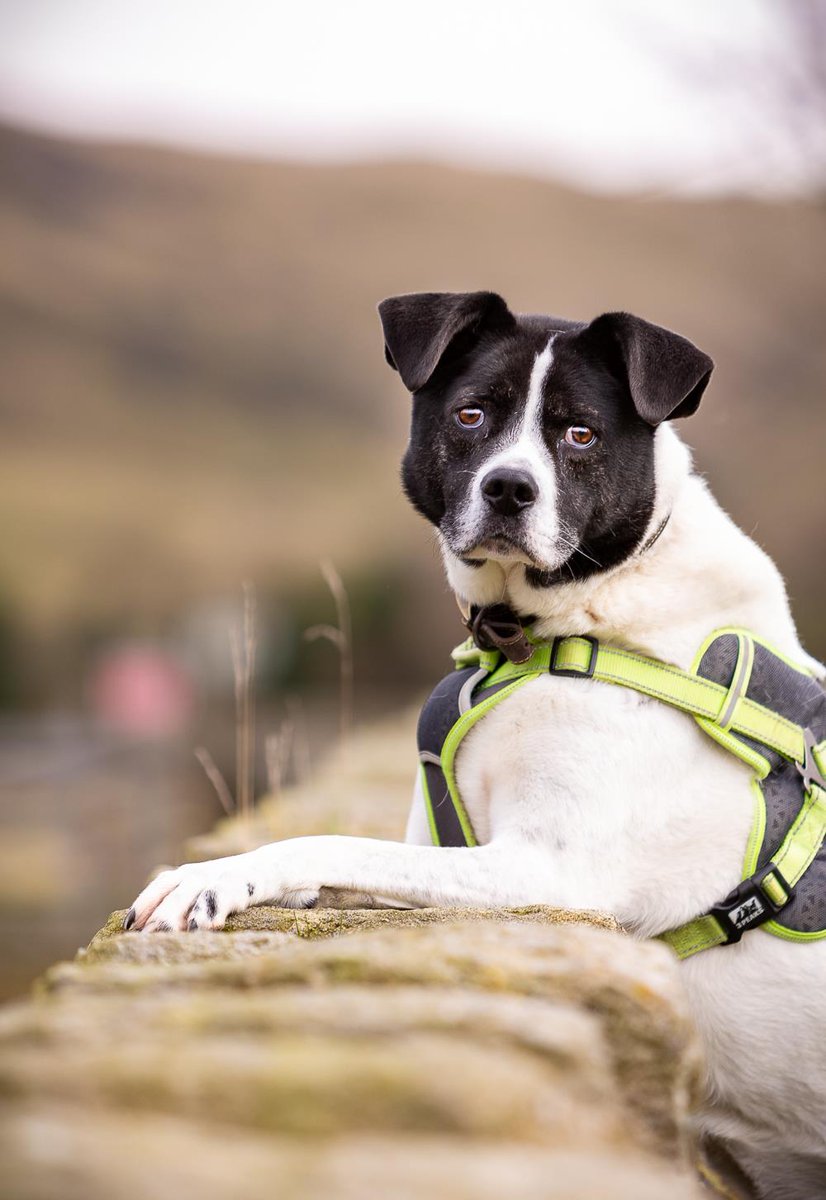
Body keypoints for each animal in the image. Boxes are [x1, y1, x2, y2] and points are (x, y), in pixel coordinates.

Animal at [126, 292, 821, 1200]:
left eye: (580, 434)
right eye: (471, 415)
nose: (510, 487)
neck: (536, 638)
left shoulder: (548, 870)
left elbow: (329, 840)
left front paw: (204, 881)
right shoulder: (449, 845)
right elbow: (347, 863)